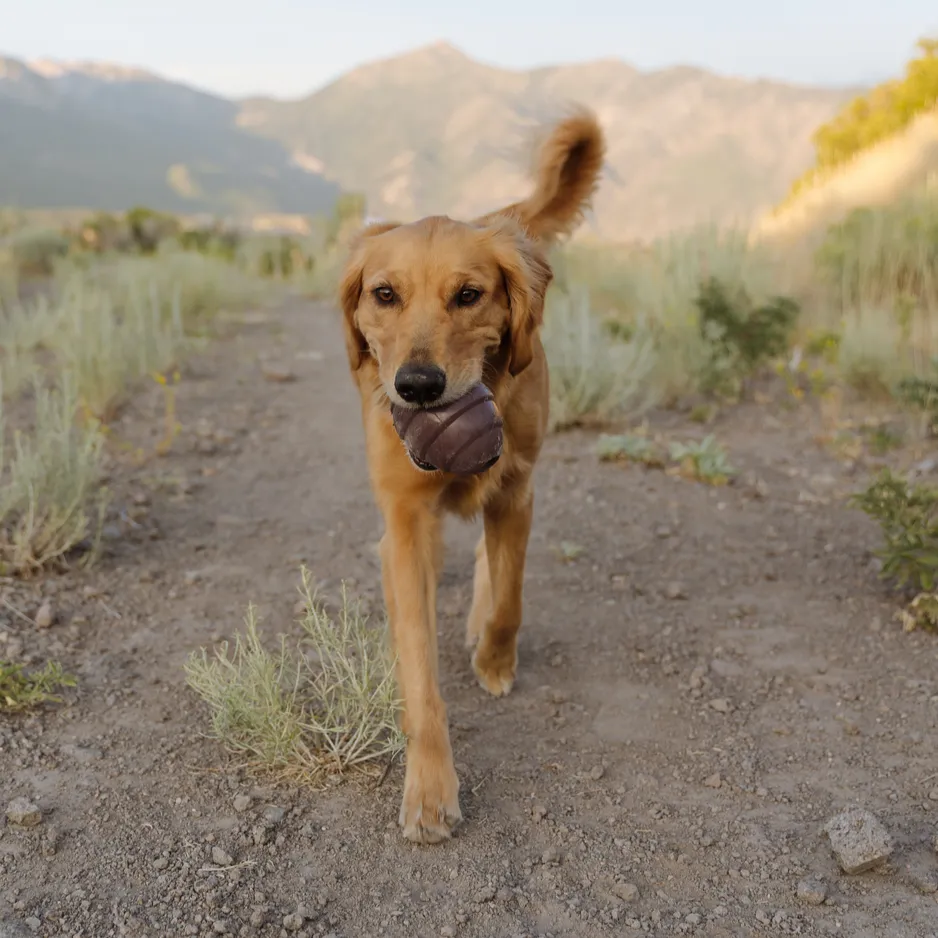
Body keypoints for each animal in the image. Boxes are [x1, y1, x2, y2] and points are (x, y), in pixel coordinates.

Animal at [340, 109, 604, 840]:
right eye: (384, 294)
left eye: (468, 295)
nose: (418, 386)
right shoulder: (404, 526)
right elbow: (418, 667)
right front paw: (430, 789)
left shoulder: (516, 488)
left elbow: (511, 596)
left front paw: (494, 658)